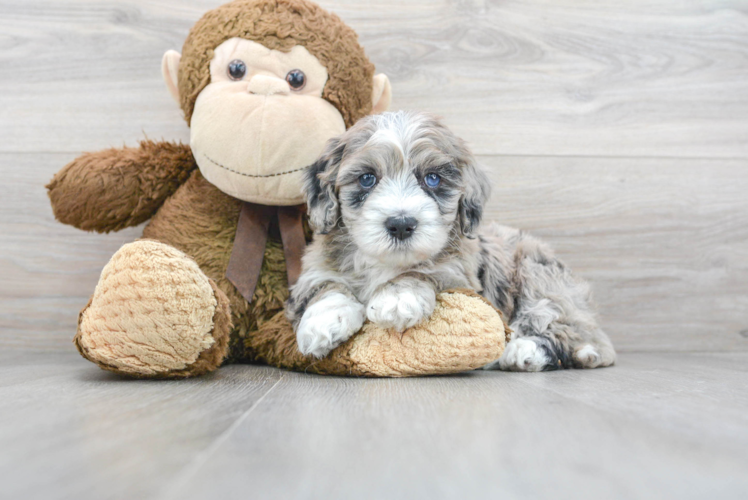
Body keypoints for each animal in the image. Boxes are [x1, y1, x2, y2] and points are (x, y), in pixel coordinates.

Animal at [284, 111, 616, 370]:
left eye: (433, 178)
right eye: (367, 178)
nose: (401, 225)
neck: (386, 263)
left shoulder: (461, 277)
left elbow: (426, 272)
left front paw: (399, 296)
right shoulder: (310, 272)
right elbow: (325, 285)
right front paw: (324, 320)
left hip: (539, 275)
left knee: (568, 329)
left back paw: (526, 350)